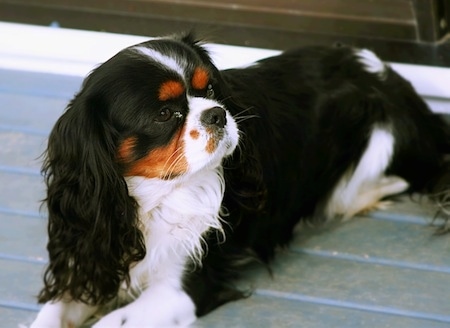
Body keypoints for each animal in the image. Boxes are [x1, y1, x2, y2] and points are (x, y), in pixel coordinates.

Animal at [30, 32, 450, 326]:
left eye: (211, 89)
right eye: (164, 114)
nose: (217, 113)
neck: (154, 196)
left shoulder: (181, 290)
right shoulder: (91, 254)